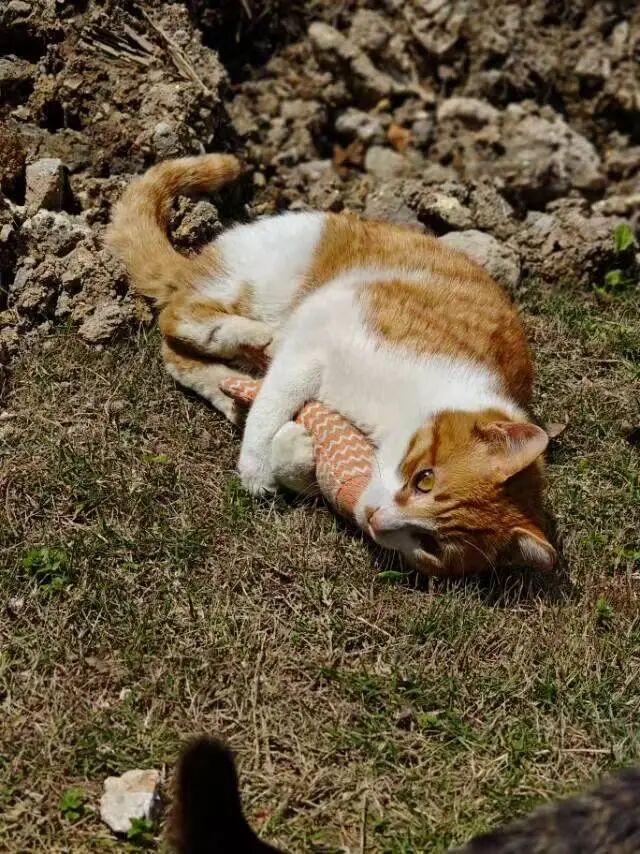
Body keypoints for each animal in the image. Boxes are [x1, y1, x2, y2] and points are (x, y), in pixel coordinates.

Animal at [107, 153, 556, 576]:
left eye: (429, 544)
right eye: (424, 479)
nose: (376, 519)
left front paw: (292, 452)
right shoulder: (315, 340)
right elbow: (272, 407)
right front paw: (255, 468)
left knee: (179, 357)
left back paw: (233, 391)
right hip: (261, 283)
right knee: (179, 316)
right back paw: (250, 337)